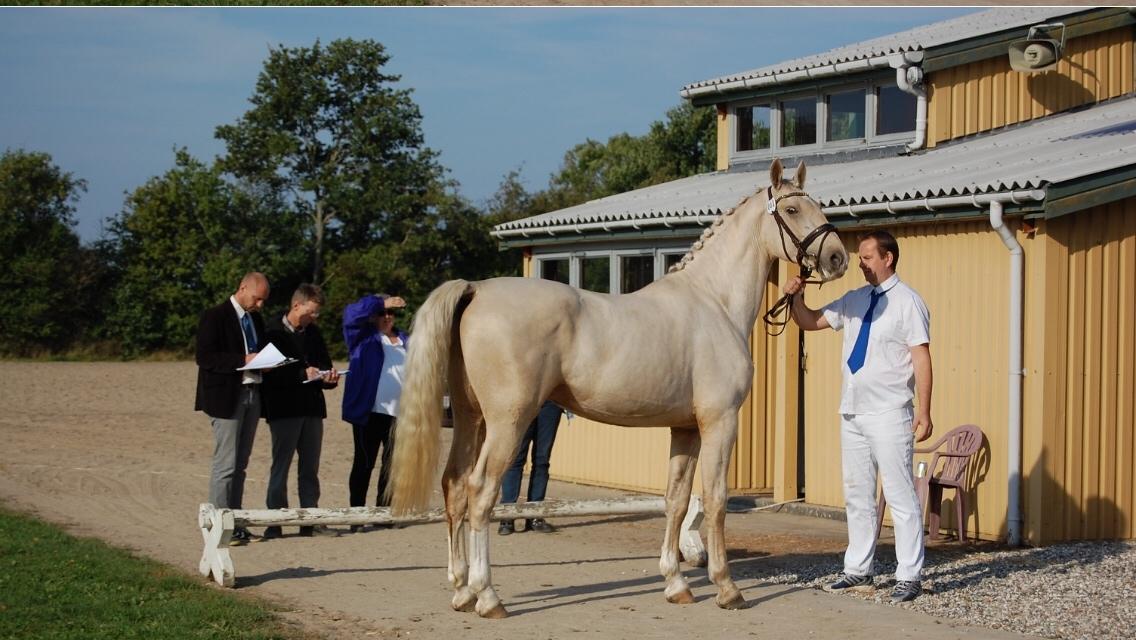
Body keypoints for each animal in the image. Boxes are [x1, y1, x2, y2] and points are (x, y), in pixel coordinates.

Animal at [386, 160, 849, 622]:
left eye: (815, 204)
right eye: (791, 209)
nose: (837, 257)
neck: (714, 303)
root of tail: (475, 290)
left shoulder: (686, 429)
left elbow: (677, 500)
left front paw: (676, 584)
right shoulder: (719, 422)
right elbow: (716, 499)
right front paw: (727, 588)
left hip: (470, 418)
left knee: (454, 487)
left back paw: (462, 591)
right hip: (507, 423)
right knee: (481, 492)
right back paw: (487, 596)